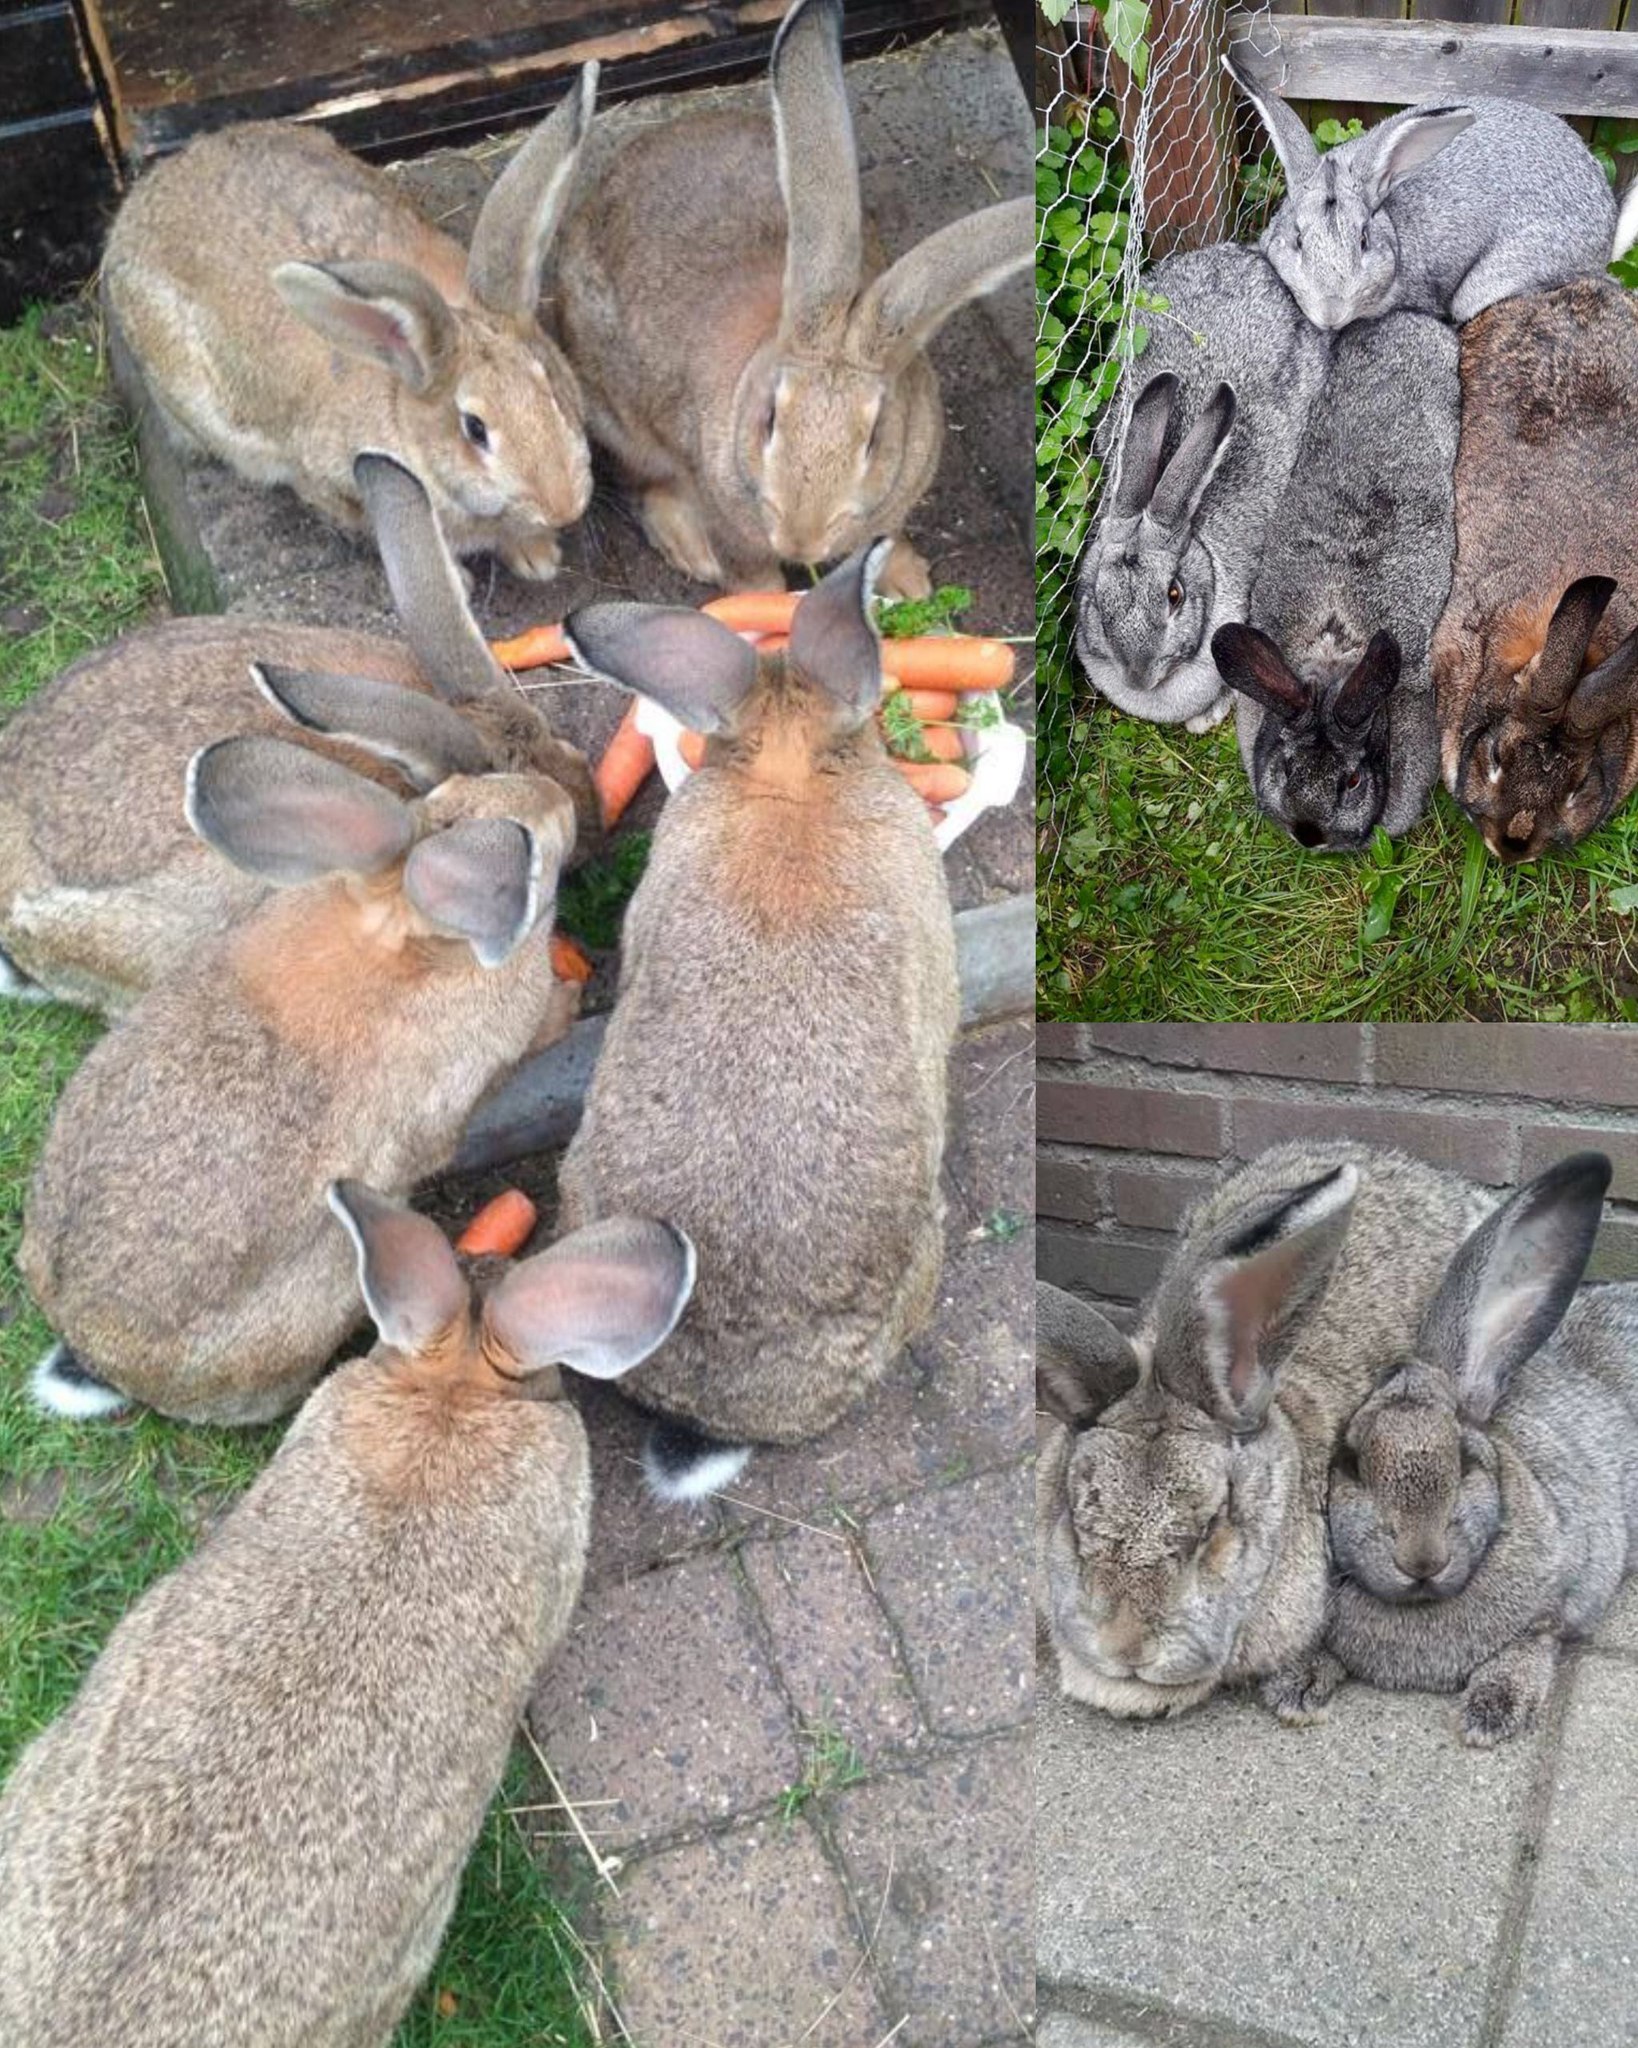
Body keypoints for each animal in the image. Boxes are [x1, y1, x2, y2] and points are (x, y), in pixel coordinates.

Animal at [20, 736, 580, 1426]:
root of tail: (95, 1353)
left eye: (454, 788)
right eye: (535, 864)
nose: (561, 798)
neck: (402, 935)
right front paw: (569, 1000)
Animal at [100, 71, 598, 581]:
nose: (562, 506)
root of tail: (135, 209)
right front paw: (465, 573)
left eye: (552, 387)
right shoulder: (331, 477)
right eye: (475, 429)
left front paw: (537, 555)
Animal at [549, 0, 1030, 597]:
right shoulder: (729, 518)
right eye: (770, 419)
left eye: (874, 437)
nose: (801, 540)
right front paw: (764, 611)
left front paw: (907, 584)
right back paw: (689, 548)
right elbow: (751, 576)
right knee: (647, 482)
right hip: (616, 417)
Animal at [1325, 1151, 1638, 1747]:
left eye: (1466, 1464)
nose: (1422, 1560)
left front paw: (1492, 1712)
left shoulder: (1569, 1594)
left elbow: (1536, 1641)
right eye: (1352, 1467)